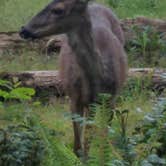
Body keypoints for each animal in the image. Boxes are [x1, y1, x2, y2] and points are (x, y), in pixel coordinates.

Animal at [19, 0, 127, 158]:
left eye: (58, 10)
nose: (23, 29)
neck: (97, 82)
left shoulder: (111, 99)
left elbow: (101, 140)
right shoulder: (74, 98)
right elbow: (78, 147)